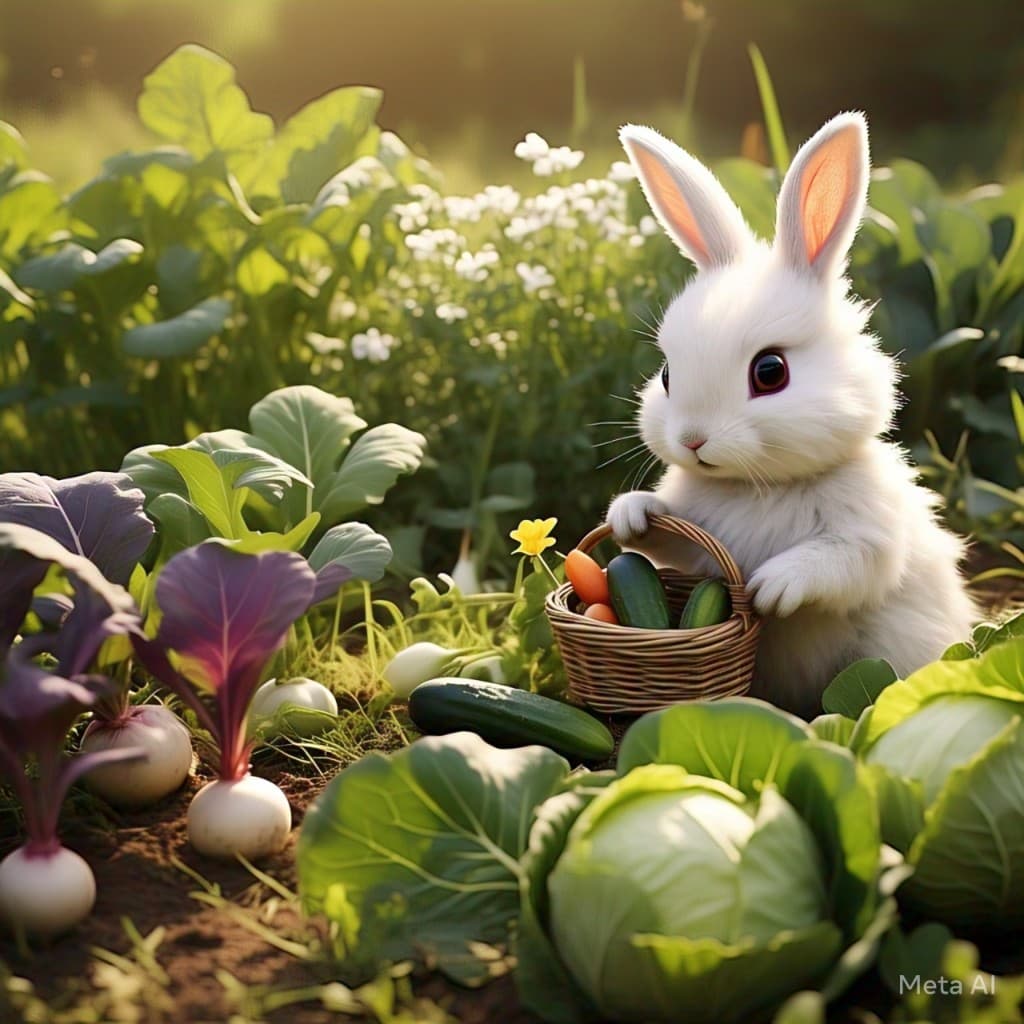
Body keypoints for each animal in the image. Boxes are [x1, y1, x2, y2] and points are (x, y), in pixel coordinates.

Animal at [607, 111, 977, 719]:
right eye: (666, 374)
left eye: (770, 372)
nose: (692, 441)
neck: (761, 487)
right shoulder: (696, 543)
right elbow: (669, 539)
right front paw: (631, 515)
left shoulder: (866, 537)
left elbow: (841, 564)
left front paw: (771, 588)